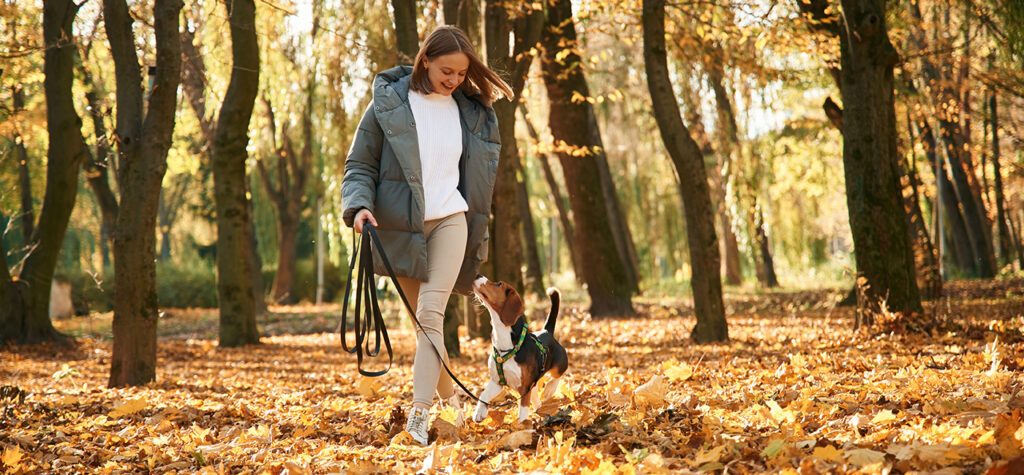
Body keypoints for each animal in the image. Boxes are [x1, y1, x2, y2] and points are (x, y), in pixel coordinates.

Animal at [471, 274, 569, 423]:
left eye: (499, 284)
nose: (477, 275)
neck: (506, 346)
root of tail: (546, 331)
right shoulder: (497, 381)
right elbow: (483, 395)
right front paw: (479, 412)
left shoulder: (524, 388)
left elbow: (523, 412)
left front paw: (522, 426)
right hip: (532, 384)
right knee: (535, 395)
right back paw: (540, 409)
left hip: (560, 363)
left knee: (559, 374)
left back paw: (549, 389)